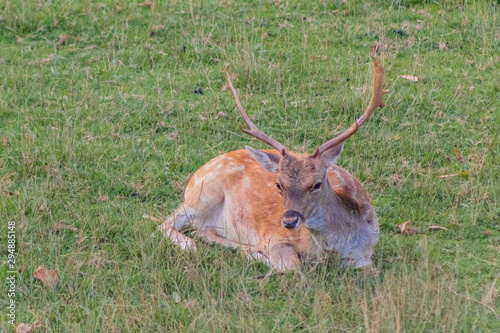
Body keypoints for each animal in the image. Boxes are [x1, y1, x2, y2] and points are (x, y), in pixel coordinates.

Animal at [145, 55, 386, 272]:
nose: (289, 221)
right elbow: (292, 266)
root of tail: (194, 176)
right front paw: (256, 255)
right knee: (167, 223)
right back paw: (194, 245)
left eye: (316, 184)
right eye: (279, 184)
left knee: (202, 230)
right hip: (203, 192)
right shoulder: (272, 235)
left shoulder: (366, 259)